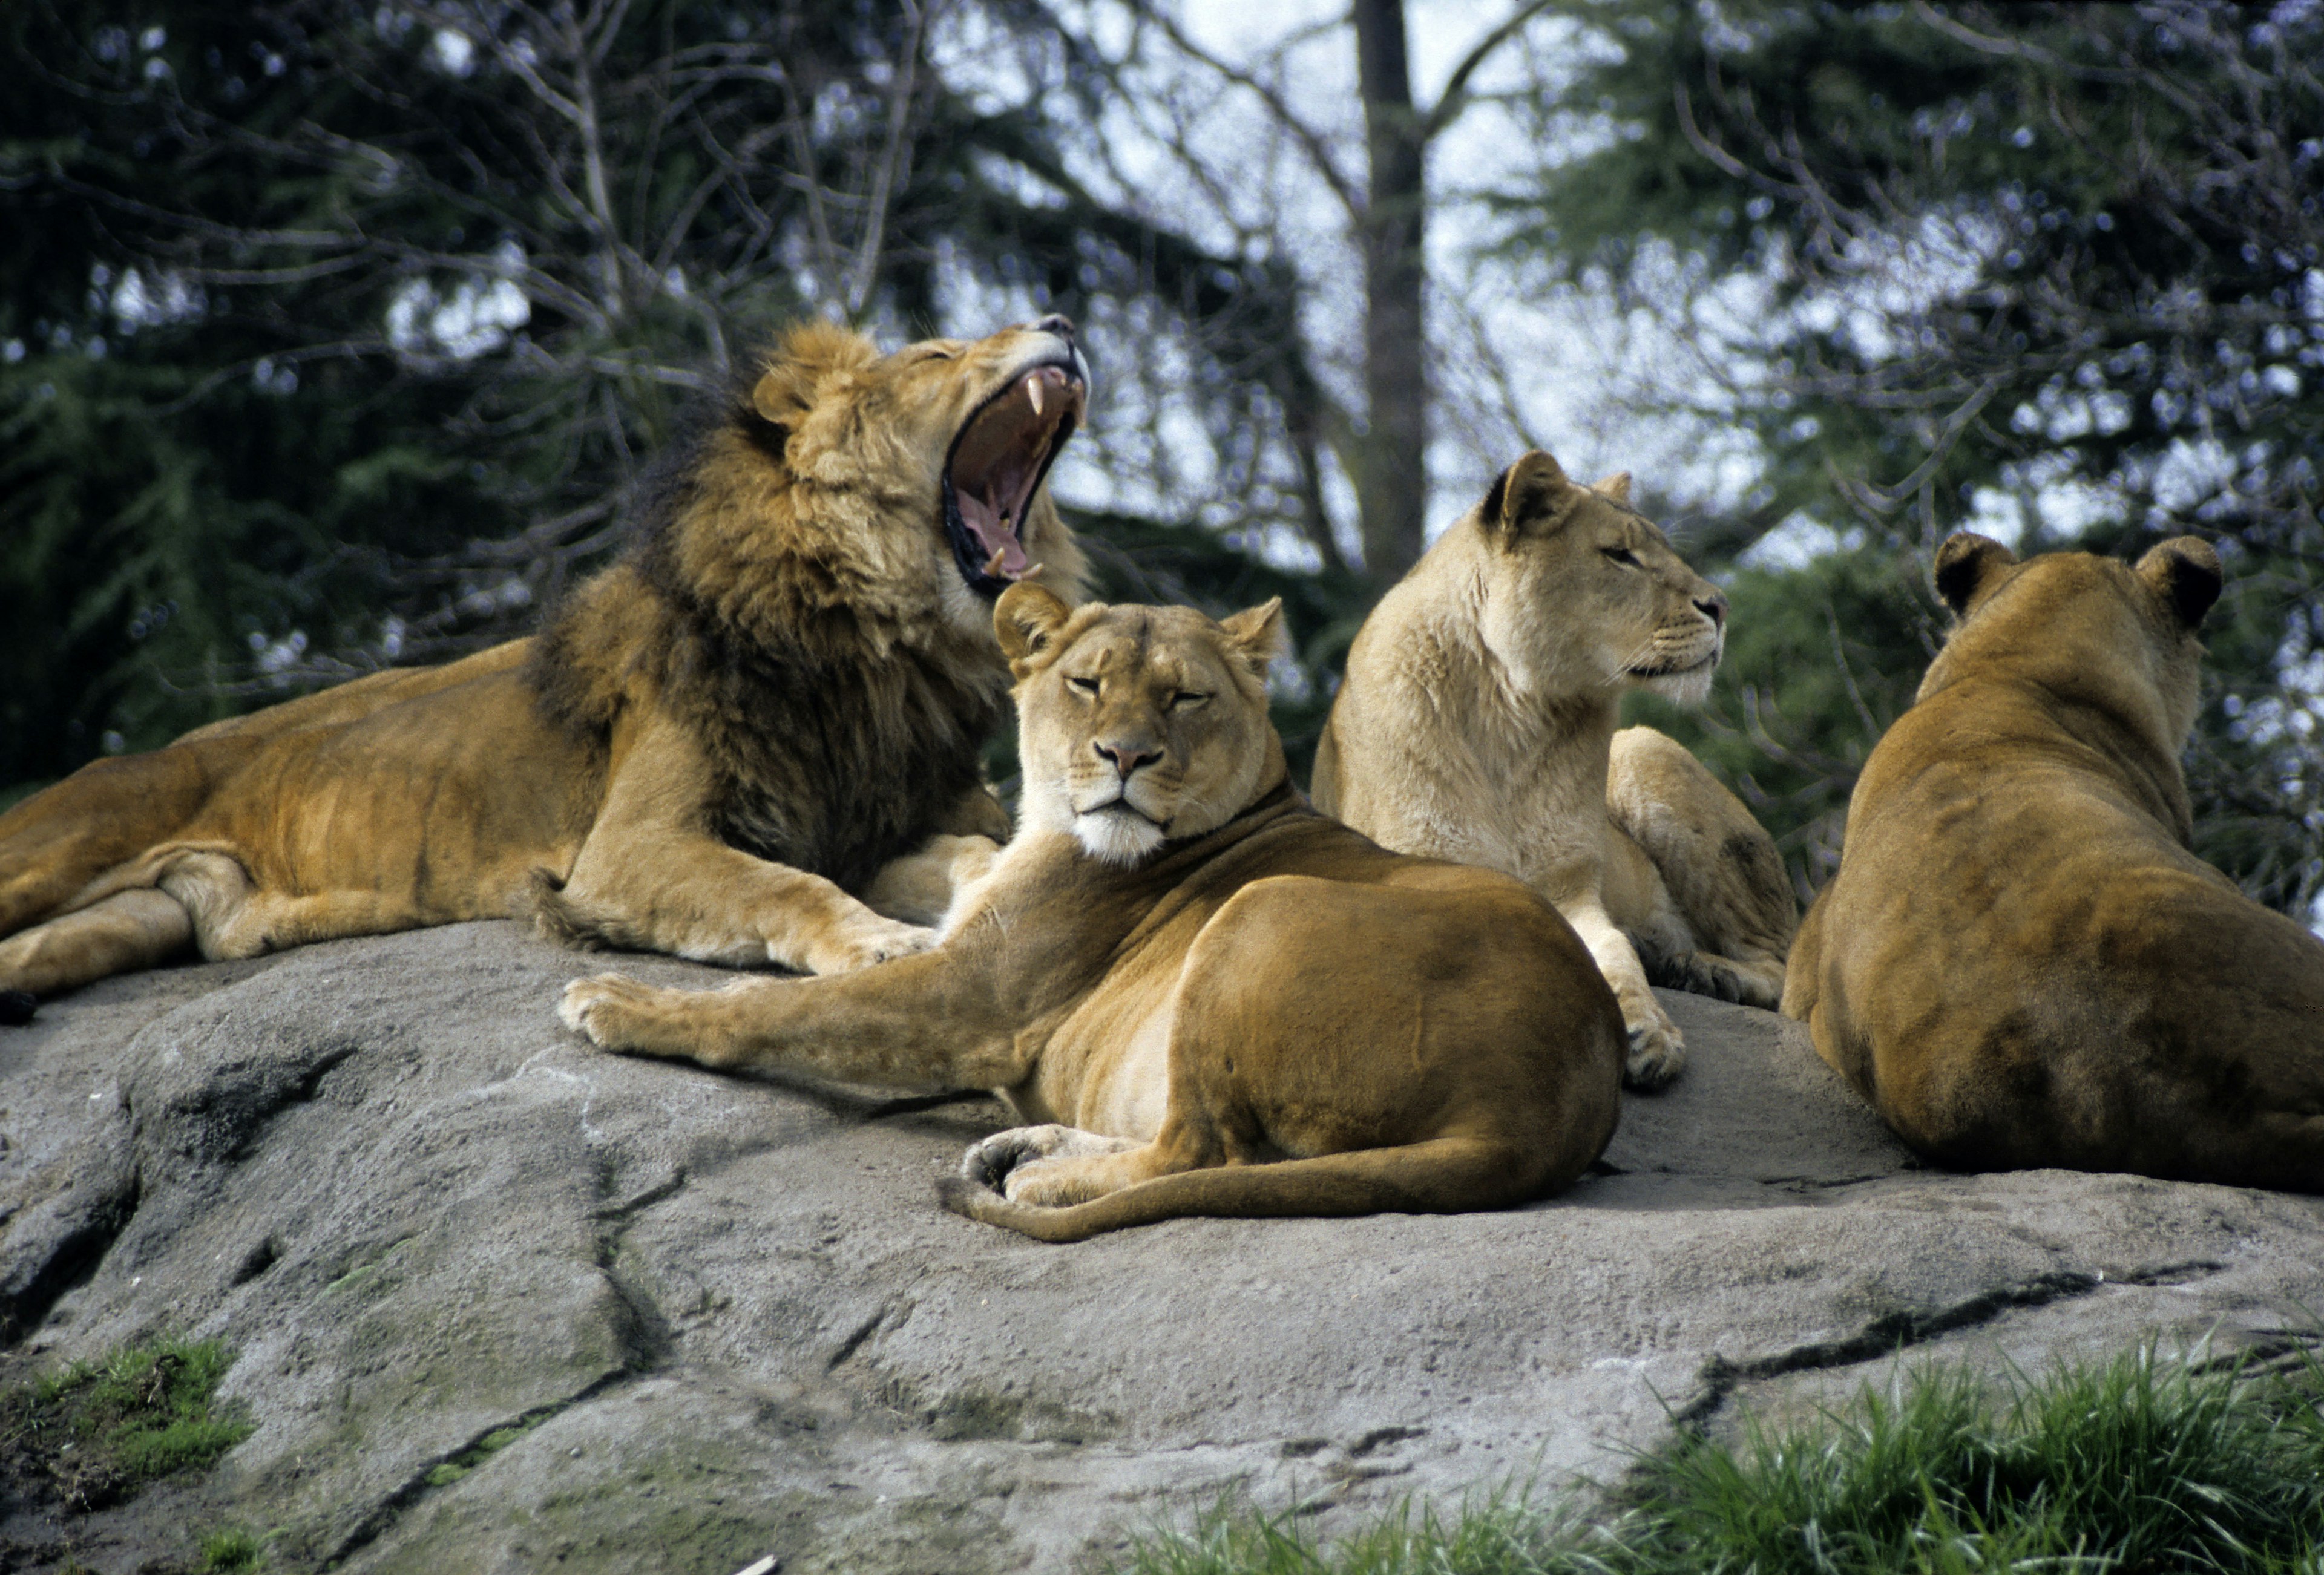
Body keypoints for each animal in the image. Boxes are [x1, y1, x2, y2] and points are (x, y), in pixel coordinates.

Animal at [2, 318, 1088, 1012]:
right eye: (939, 354)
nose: (1064, 319)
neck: (879, 647)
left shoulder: (868, 825)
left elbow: (968, 854)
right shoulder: (630, 845)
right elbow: (787, 890)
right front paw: (879, 943)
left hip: (141, 917)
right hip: (67, 839)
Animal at [562, 585, 1627, 1236]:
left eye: (1186, 697)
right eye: (1086, 683)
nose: (1125, 755)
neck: (1054, 822)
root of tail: (1537, 1114)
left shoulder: (971, 998)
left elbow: (775, 1009)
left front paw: (621, 1001)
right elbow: (943, 867)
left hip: (1259, 909)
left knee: (1201, 1148)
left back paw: (1040, 1171)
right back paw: (1029, 1147)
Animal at [1310, 453, 1794, 1096]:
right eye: (1620, 554)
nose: (1721, 607)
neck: (1510, 713)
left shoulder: (1570, 888)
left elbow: (1612, 954)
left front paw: (1650, 1034)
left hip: (1643, 753)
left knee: (1783, 970)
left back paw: (1706, 972)